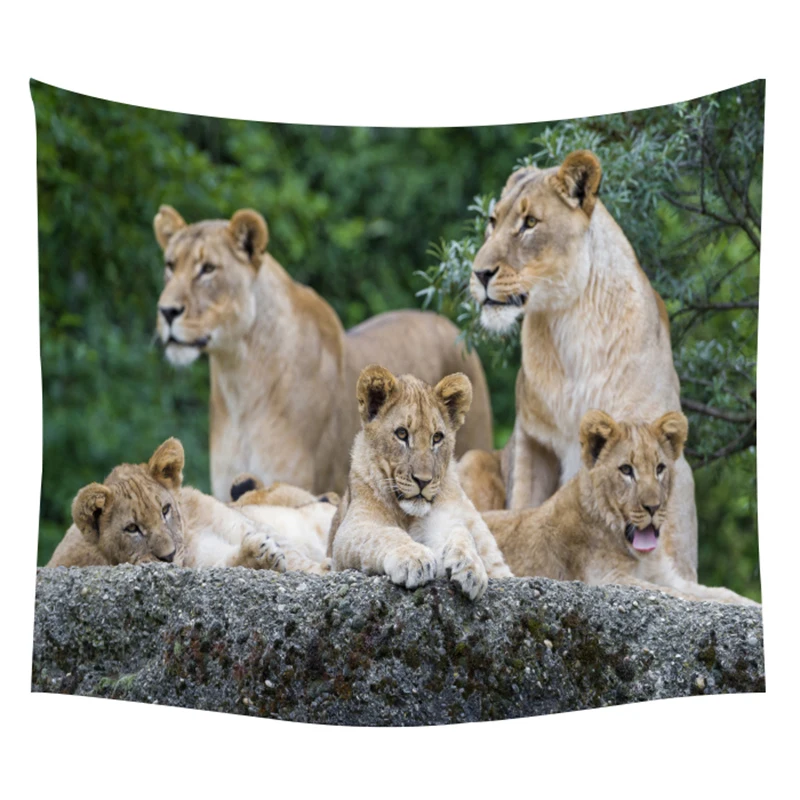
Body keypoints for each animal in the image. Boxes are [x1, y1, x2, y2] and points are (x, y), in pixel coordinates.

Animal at [46, 439, 332, 574]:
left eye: (165, 510)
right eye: (132, 528)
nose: (169, 556)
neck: (192, 533)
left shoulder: (241, 525)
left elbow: (296, 557)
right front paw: (260, 556)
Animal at [327, 365, 512, 601]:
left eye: (437, 437)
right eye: (402, 434)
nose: (423, 481)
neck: (407, 514)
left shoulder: (443, 520)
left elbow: (461, 533)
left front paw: (470, 567)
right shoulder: (349, 532)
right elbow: (384, 535)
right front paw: (414, 559)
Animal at [462, 150, 698, 582]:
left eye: (530, 223)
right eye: (492, 221)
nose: (479, 273)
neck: (569, 321)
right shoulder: (534, 442)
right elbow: (525, 506)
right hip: (473, 458)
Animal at [484, 410, 757, 605]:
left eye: (660, 468)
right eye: (626, 470)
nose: (653, 507)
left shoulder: (664, 574)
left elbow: (720, 592)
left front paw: (751, 605)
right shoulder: (605, 578)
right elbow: (673, 594)